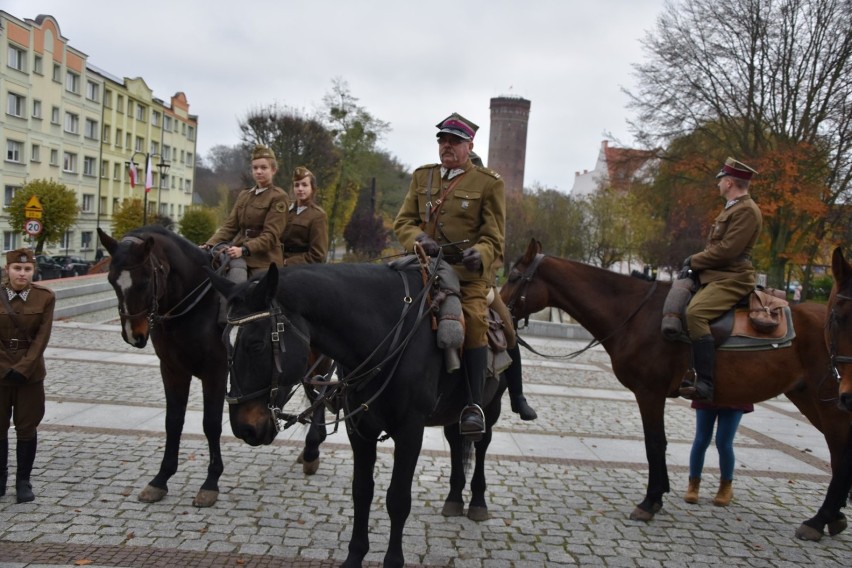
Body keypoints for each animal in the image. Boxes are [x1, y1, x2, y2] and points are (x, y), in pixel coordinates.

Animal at [96, 226, 330, 506]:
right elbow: (173, 421)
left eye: (143, 281)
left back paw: (312, 448)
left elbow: (211, 424)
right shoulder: (172, 371)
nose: (134, 335)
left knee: (322, 392)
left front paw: (210, 482)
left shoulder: (215, 374)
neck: (194, 308)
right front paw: (161, 478)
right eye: (111, 280)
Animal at [211, 262, 510, 568]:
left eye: (256, 345)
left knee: (481, 443)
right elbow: (362, 491)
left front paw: (393, 560)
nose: (243, 428)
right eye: (224, 342)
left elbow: (398, 498)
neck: (388, 333)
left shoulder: (410, 431)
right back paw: (454, 497)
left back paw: (477, 501)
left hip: (491, 406)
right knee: (454, 442)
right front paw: (354, 555)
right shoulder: (360, 429)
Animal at [502, 239, 848, 540]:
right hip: (810, 399)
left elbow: (655, 443)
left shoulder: (649, 393)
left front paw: (650, 500)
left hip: (829, 404)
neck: (635, 313)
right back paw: (834, 517)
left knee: (841, 457)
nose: (500, 312)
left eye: (515, 276)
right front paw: (659, 495)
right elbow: (658, 444)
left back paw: (818, 520)